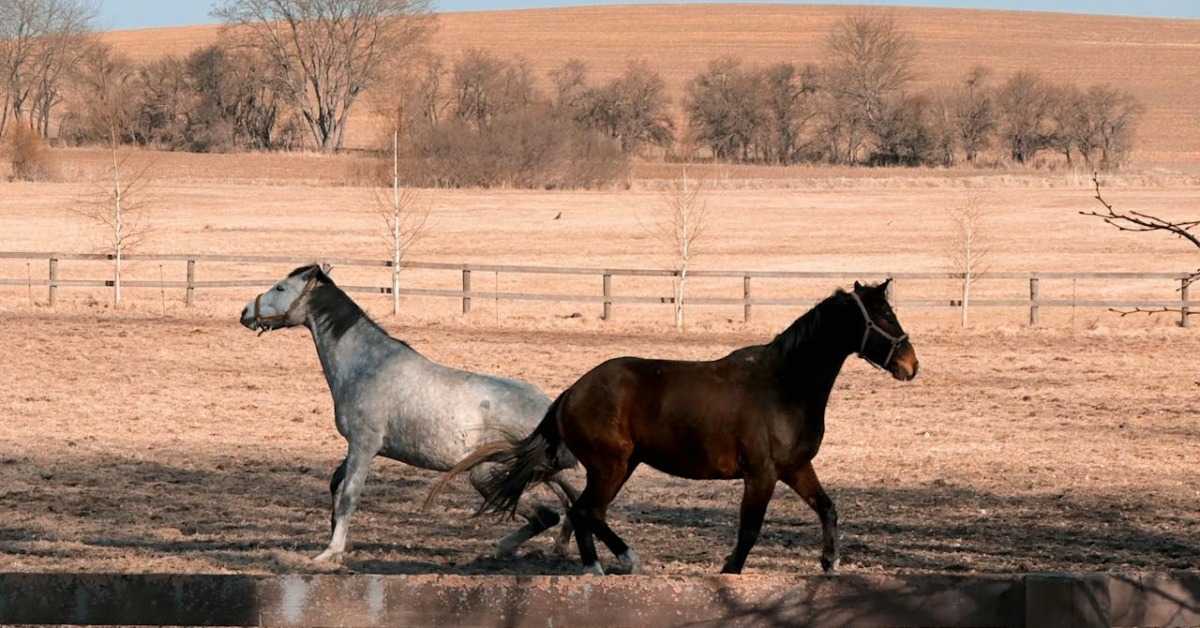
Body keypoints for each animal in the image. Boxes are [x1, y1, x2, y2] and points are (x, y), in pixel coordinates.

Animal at [240, 265, 576, 564]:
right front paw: (336, 541)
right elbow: (336, 486)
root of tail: (551, 409)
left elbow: (349, 496)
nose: (245, 313)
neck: (367, 364)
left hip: (490, 472)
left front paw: (329, 553)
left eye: (280, 287)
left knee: (550, 512)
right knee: (569, 503)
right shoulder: (360, 448)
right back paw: (556, 548)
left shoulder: (364, 445)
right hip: (536, 472)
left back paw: (512, 547)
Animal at [429, 279, 916, 573]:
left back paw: (607, 564)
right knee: (587, 511)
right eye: (884, 317)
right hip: (611, 466)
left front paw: (830, 562)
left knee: (588, 512)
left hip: (620, 466)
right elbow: (750, 530)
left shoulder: (795, 468)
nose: (912, 365)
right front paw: (730, 570)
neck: (784, 385)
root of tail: (571, 392)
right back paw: (610, 563)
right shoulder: (761, 475)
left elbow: (827, 508)